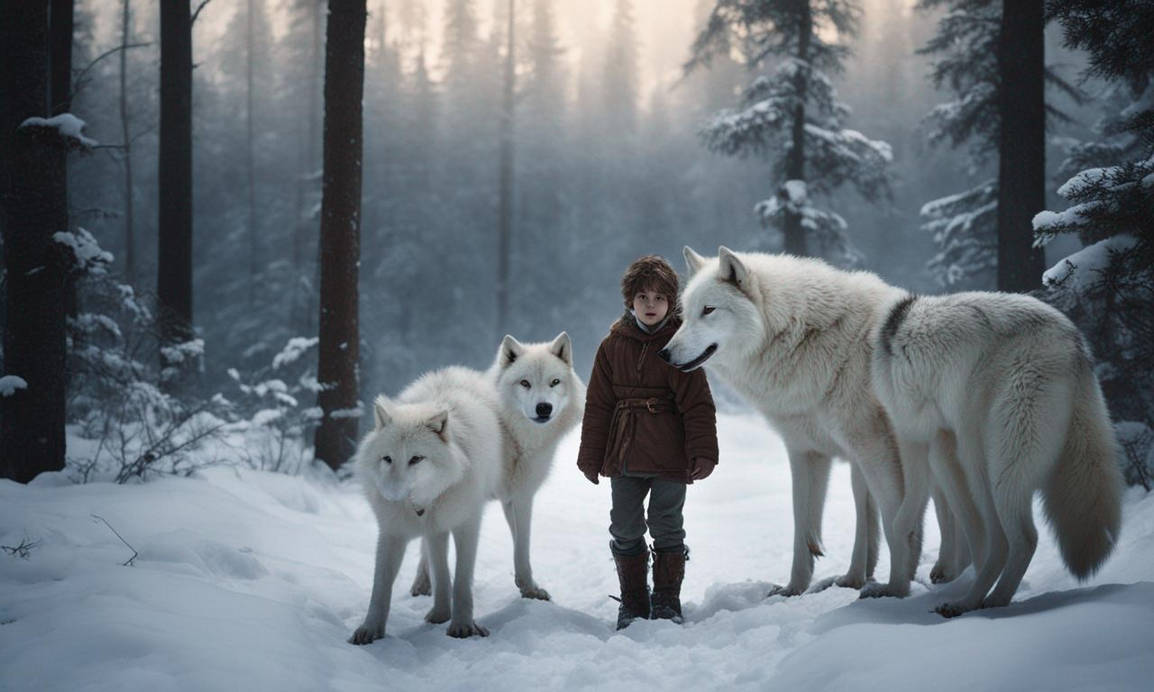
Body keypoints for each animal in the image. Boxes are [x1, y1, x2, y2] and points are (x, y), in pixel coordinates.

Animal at [349, 367, 503, 643]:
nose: (389, 495)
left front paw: (462, 625)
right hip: (435, 531)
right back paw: (440, 612)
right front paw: (369, 629)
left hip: (442, 526)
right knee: (437, 566)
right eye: (387, 459)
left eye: (416, 459)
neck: (422, 504)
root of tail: (452, 372)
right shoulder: (392, 533)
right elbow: (380, 589)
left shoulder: (466, 526)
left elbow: (462, 582)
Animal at [410, 332, 584, 601]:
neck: (511, 431)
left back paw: (423, 584)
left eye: (555, 382)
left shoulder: (509, 497)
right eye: (525, 383)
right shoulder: (522, 495)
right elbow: (523, 546)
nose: (544, 407)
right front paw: (530, 588)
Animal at [661, 246, 922, 599]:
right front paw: (793, 588)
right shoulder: (805, 451)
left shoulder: (875, 449)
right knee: (867, 524)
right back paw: (854, 578)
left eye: (709, 310)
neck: (804, 337)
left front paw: (897, 588)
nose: (664, 354)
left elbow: (896, 520)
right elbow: (802, 525)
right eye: (684, 315)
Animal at [871, 291, 1122, 615]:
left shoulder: (911, 434)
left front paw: (894, 588)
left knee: (1018, 539)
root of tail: (1072, 342)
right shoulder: (940, 444)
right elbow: (942, 522)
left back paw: (979, 601)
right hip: (979, 459)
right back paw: (981, 597)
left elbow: (901, 522)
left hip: (991, 468)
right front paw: (898, 587)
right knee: (1000, 539)